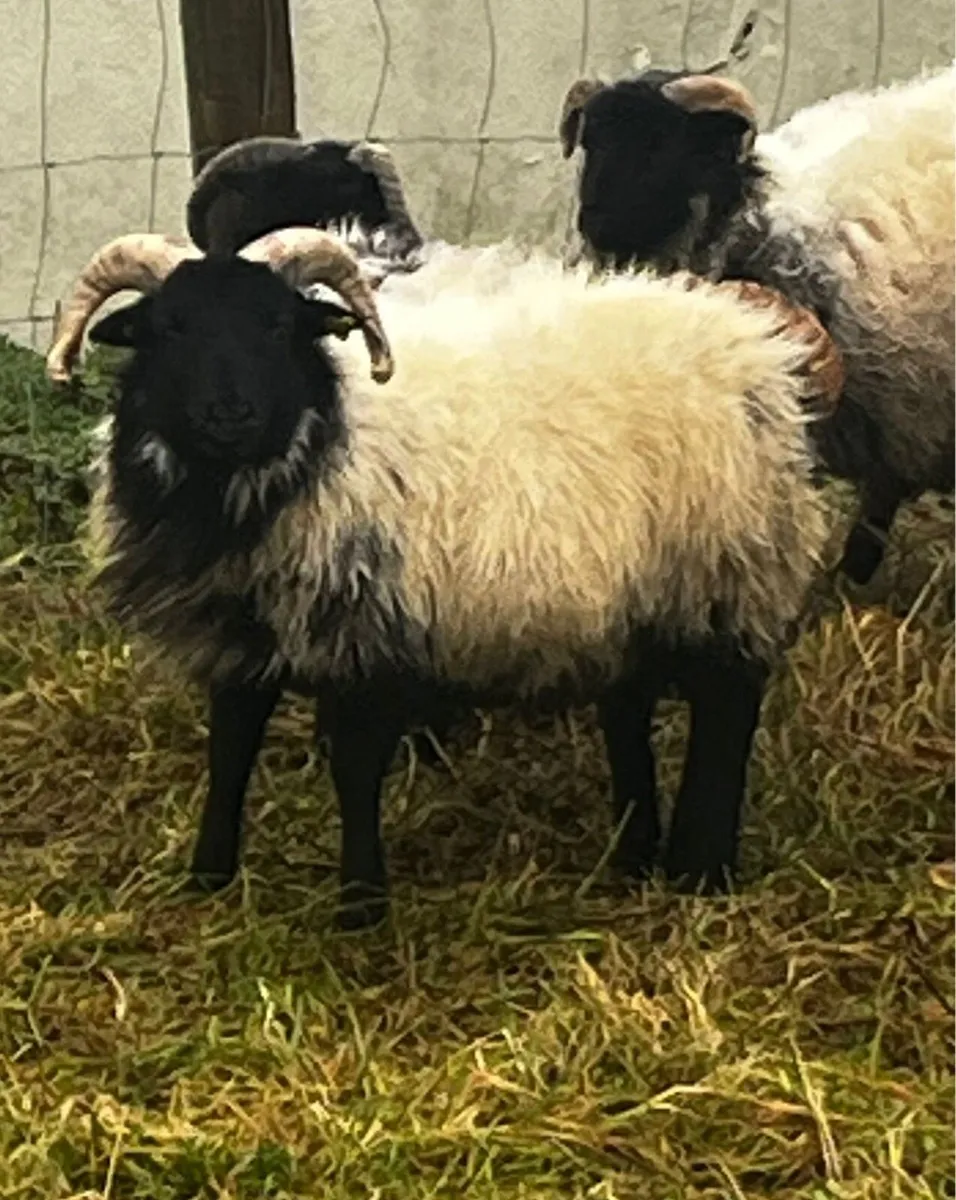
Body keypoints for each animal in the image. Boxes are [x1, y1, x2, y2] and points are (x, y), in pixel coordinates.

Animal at [46, 225, 845, 929]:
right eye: (169, 329)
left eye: (277, 325)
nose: (230, 413)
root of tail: (750, 341)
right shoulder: (239, 637)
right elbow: (230, 753)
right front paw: (209, 877)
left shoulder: (369, 634)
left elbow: (355, 771)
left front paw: (360, 907)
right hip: (633, 593)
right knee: (628, 709)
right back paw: (631, 853)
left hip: (729, 570)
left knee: (727, 710)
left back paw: (701, 869)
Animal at [558, 63, 956, 585]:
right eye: (591, 140)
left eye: (662, 142)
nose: (596, 227)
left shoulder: (900, 411)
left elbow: (875, 509)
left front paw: (850, 579)